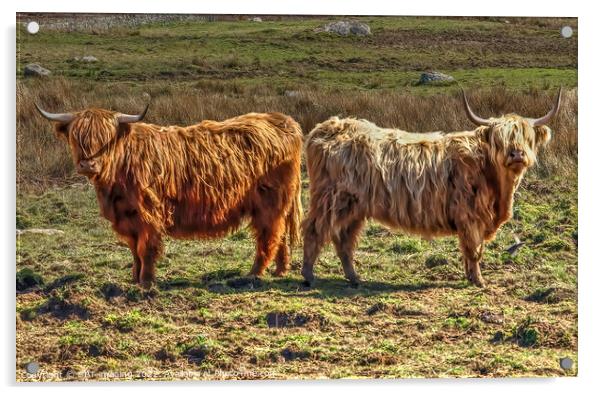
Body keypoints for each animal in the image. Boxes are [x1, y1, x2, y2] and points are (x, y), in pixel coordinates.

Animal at [35, 103, 302, 286]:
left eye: (106, 139)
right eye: (76, 137)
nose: (88, 165)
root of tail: (281, 120)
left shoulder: (148, 215)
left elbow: (145, 249)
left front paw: (146, 282)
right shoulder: (127, 218)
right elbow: (134, 251)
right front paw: (135, 278)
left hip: (268, 203)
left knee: (268, 237)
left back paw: (253, 274)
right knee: (278, 235)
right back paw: (280, 270)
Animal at [302, 89, 560, 288]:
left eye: (527, 137)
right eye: (499, 138)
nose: (516, 154)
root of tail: (326, 127)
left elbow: (469, 251)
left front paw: (470, 277)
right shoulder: (470, 217)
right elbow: (474, 250)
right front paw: (479, 281)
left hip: (354, 207)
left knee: (344, 240)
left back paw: (355, 279)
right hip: (332, 199)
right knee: (315, 229)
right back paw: (308, 276)